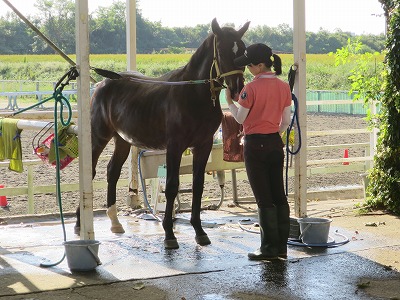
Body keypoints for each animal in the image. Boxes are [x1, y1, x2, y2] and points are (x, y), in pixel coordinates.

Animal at [75, 18, 248, 248]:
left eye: (243, 50)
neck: (193, 94)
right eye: (221, 50)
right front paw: (169, 234)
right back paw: (79, 225)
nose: (237, 89)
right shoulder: (175, 146)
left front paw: (199, 231)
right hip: (98, 137)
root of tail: (103, 82)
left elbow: (198, 185)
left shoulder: (203, 146)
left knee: (112, 171)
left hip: (122, 140)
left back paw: (115, 222)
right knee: (91, 172)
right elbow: (172, 186)